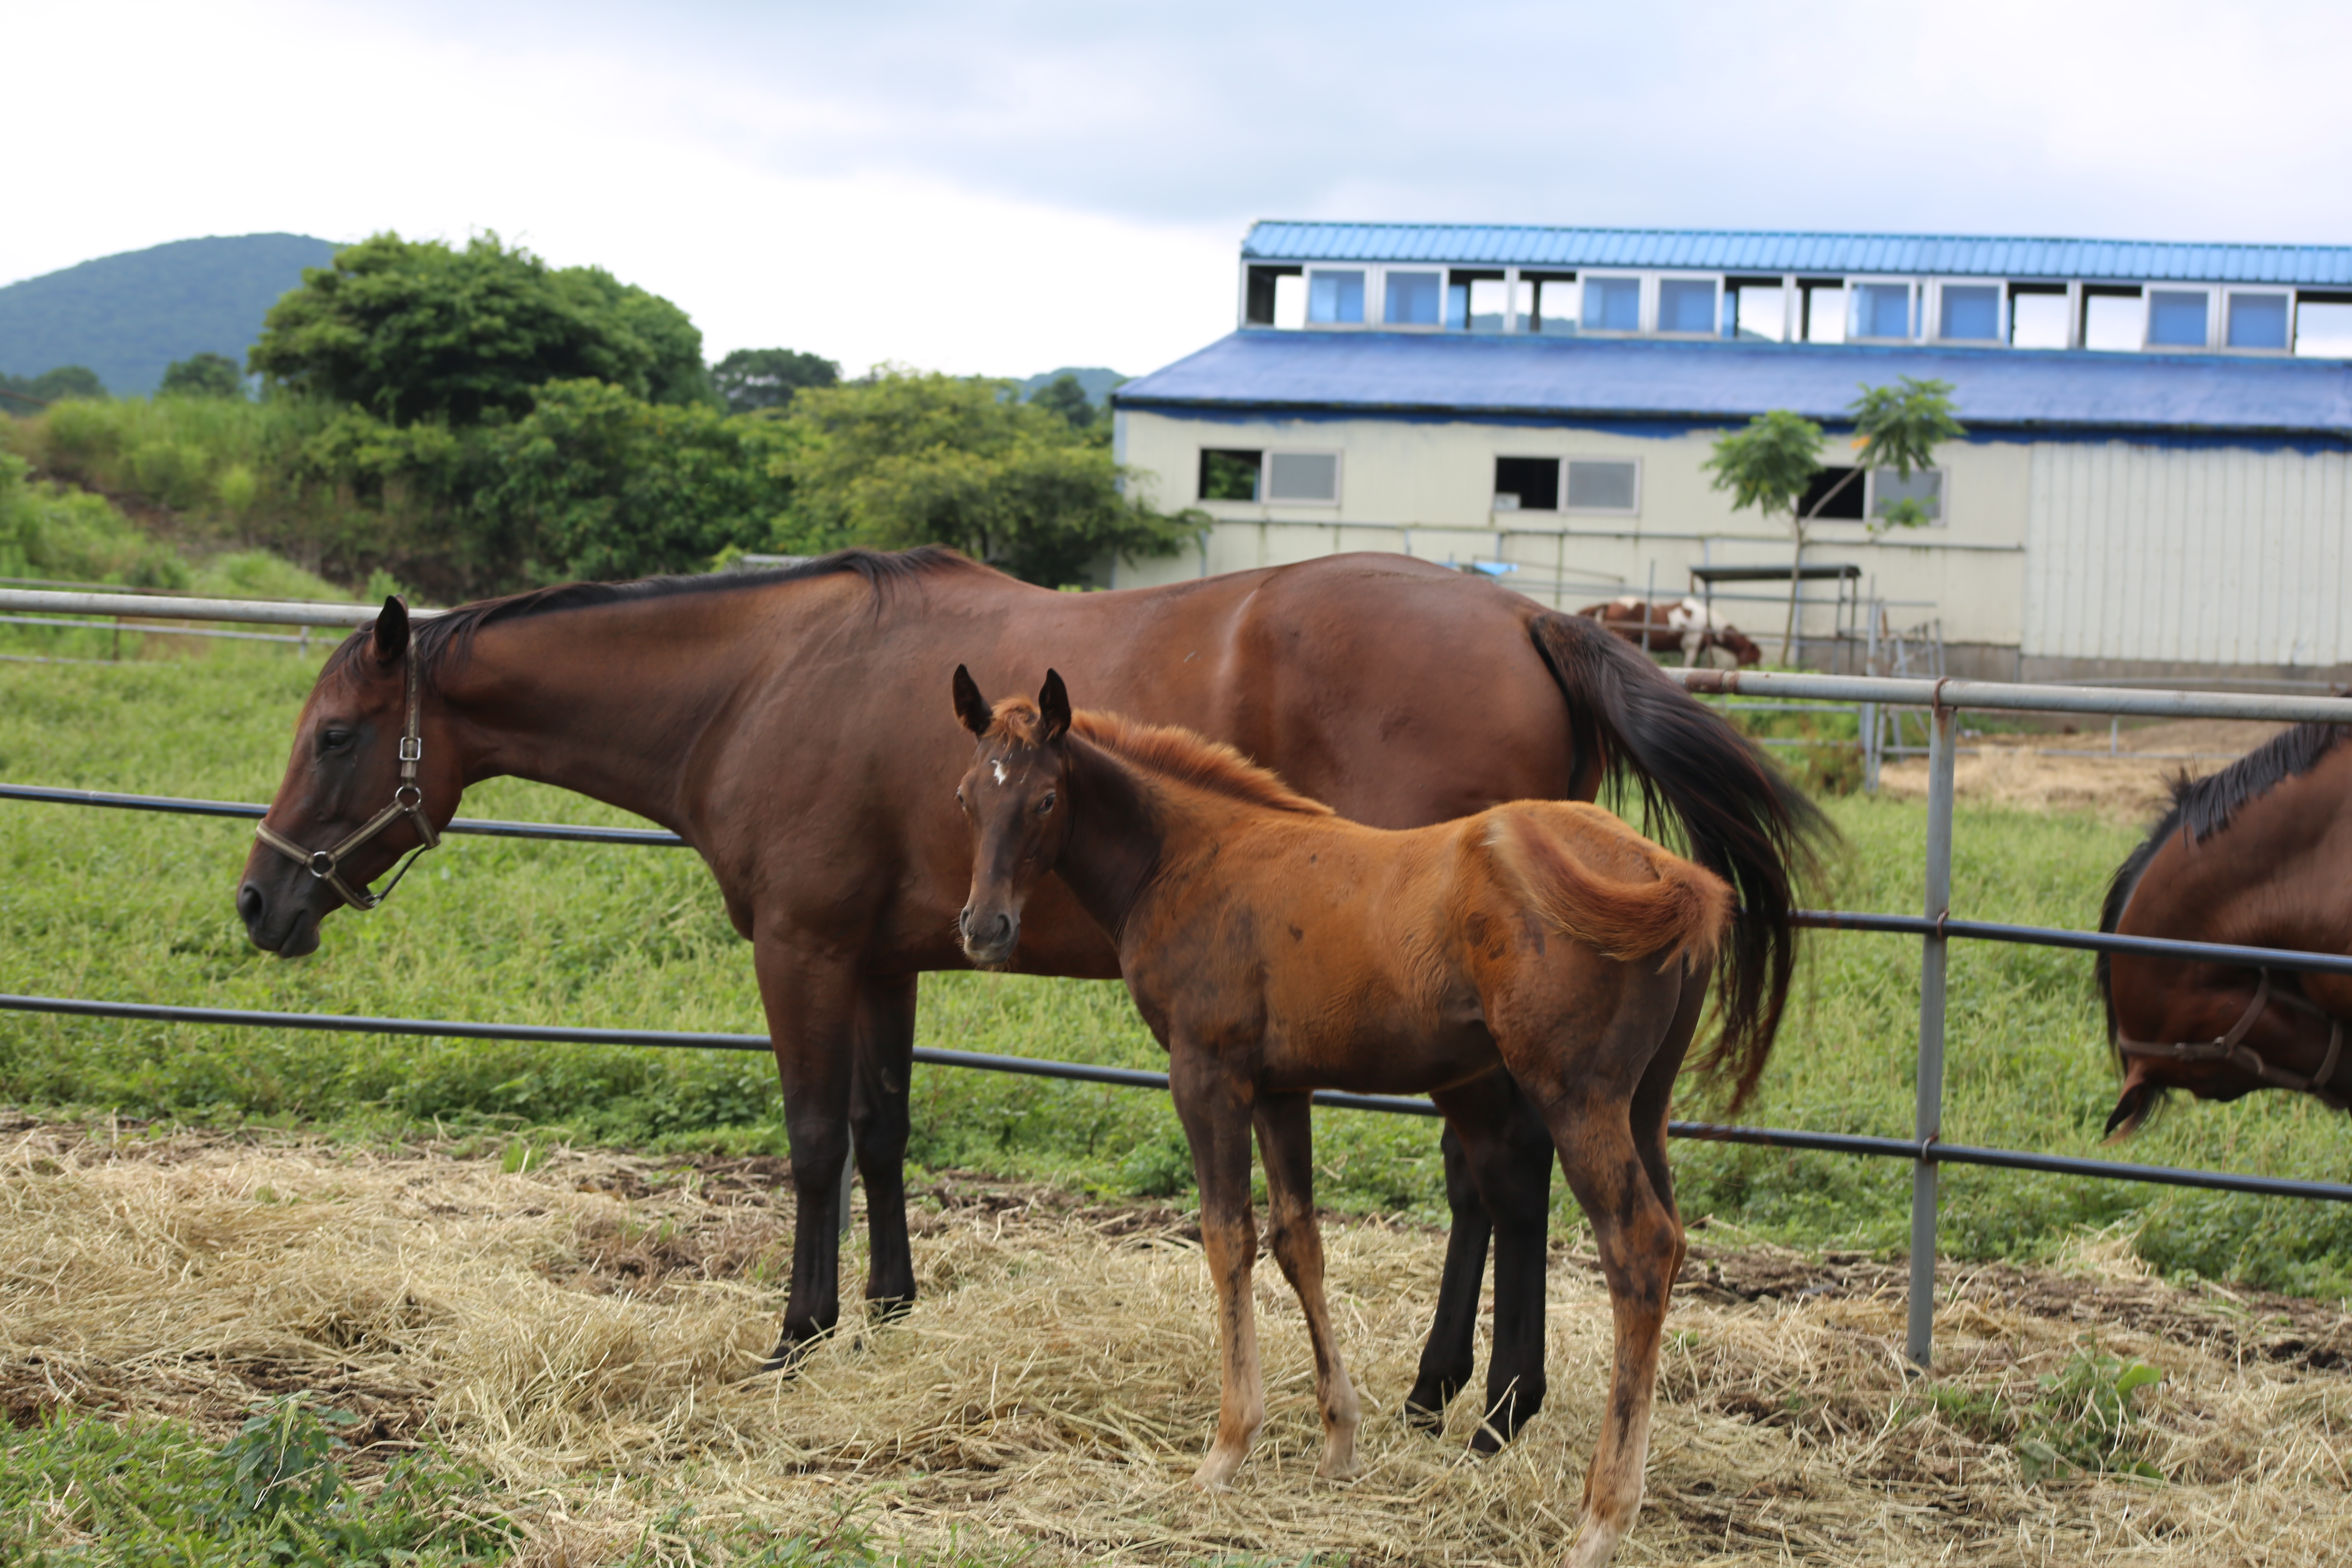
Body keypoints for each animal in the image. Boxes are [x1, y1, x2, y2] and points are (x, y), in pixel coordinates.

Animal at [945, 668, 1740, 1561]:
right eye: (969, 797)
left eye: (1046, 800)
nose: (984, 928)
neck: (1188, 859)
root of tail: (1660, 868)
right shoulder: (1281, 1088)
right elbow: (1300, 1242)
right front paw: (1339, 1438)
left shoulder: (1207, 1073)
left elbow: (1227, 1238)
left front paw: (1228, 1447)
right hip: (1646, 1104)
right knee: (1664, 1242)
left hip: (1579, 1097)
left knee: (1637, 1249)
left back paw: (1602, 1518)